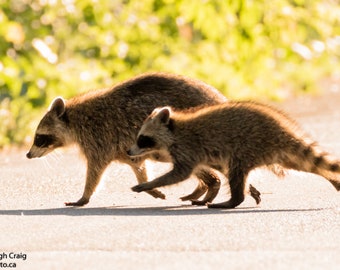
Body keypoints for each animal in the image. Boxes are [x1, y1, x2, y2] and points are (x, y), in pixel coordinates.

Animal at [129, 102, 340, 209]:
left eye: (142, 139)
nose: (129, 152)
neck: (173, 130)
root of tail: (282, 129)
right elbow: (216, 169)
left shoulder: (187, 148)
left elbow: (179, 174)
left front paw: (150, 184)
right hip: (275, 153)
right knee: (303, 162)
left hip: (249, 144)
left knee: (236, 171)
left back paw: (233, 200)